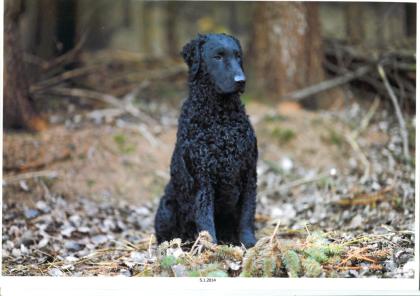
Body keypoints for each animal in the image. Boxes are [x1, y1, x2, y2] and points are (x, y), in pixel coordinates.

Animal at [156, 33, 258, 247]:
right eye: (217, 57)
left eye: (238, 56)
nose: (241, 80)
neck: (221, 119)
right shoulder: (202, 180)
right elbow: (205, 220)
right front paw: (210, 247)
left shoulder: (249, 172)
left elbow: (247, 214)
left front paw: (249, 243)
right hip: (167, 206)